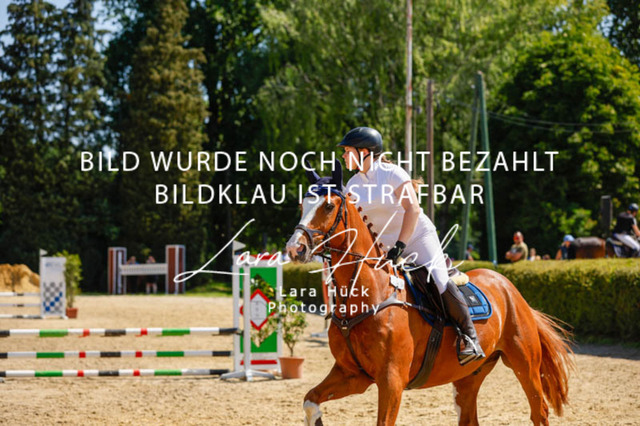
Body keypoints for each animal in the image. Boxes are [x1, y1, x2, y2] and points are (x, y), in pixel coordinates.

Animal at [286, 162, 574, 425]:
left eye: (328, 206)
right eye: (301, 206)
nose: (294, 249)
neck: (367, 296)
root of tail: (509, 287)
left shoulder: (391, 381)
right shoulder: (352, 374)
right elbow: (310, 401)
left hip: (524, 364)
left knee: (539, 410)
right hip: (469, 376)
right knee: (469, 416)